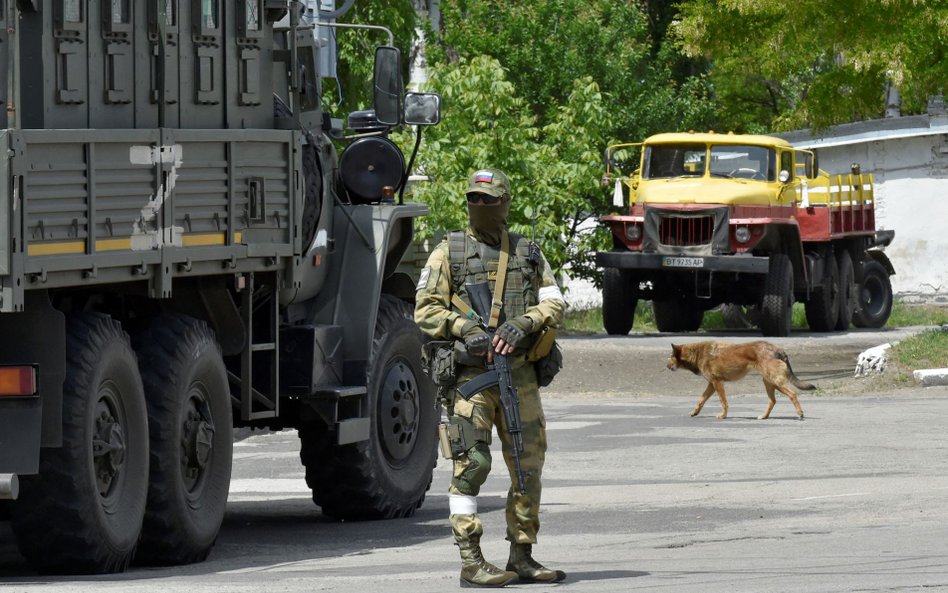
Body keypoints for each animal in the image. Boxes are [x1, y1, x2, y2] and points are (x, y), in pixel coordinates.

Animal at [668, 340, 816, 418]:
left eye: (670, 358)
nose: (666, 366)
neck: (697, 353)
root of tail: (778, 349)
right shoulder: (711, 385)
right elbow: (701, 400)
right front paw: (695, 412)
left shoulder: (717, 383)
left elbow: (723, 402)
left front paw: (723, 415)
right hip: (768, 382)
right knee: (772, 401)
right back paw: (764, 416)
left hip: (775, 382)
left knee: (793, 394)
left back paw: (800, 413)